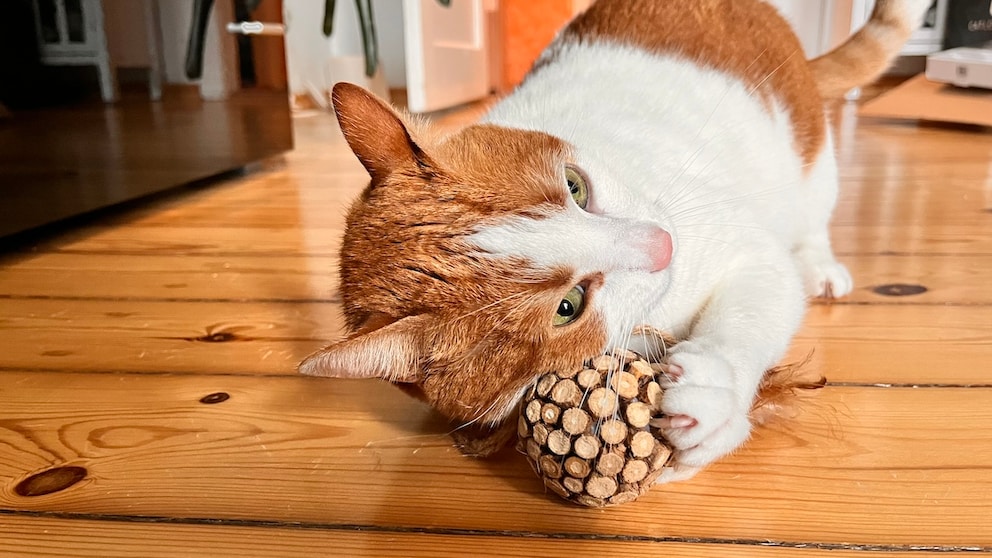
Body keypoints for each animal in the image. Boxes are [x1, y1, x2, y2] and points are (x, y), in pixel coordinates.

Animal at [300, 0, 928, 482]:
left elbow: (752, 311)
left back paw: (820, 263)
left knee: (813, 215)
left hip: (809, 161)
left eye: (575, 186)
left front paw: (716, 393)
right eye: (568, 307)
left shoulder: (746, 250)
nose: (661, 245)